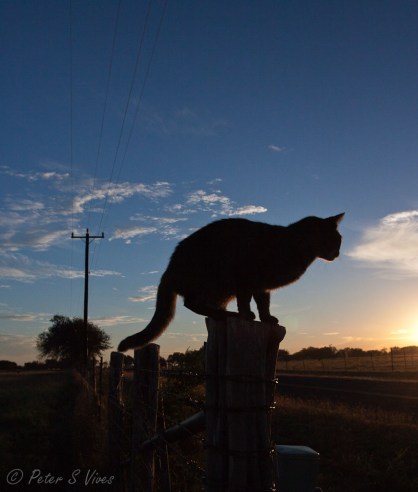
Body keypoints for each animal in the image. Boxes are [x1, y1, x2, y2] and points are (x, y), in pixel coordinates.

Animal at [118, 213, 344, 352]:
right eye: (334, 240)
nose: (339, 254)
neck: (295, 247)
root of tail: (168, 270)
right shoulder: (245, 277)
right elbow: (245, 301)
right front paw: (247, 315)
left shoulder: (262, 286)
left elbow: (263, 304)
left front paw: (267, 318)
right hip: (211, 281)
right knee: (191, 303)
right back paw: (224, 314)